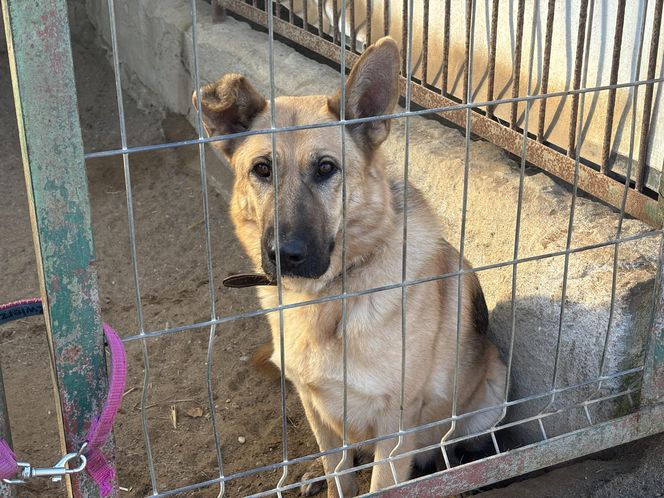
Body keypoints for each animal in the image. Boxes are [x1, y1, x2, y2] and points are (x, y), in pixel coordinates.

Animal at [195, 37, 506, 496]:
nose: (285, 254)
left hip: (490, 394)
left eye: (326, 168)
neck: (329, 296)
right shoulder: (316, 408)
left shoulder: (395, 428)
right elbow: (338, 474)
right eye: (262, 169)